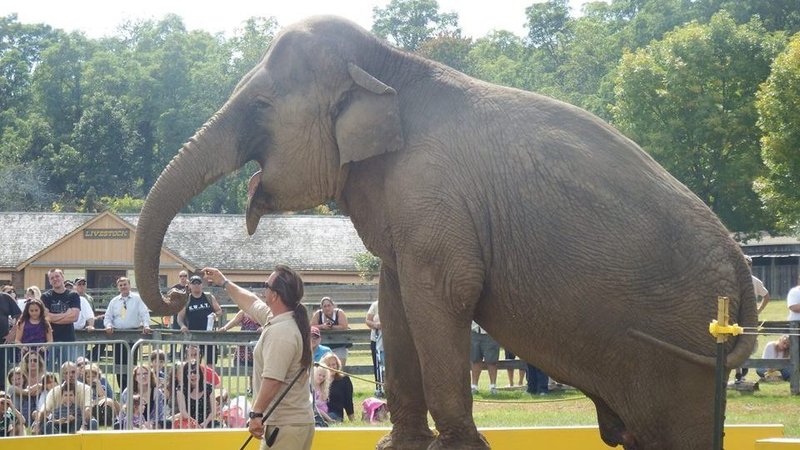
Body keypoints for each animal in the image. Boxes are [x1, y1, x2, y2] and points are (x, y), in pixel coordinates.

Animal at [133, 15, 756, 448]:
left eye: (261, 103)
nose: (181, 292)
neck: (392, 66)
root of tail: (743, 276)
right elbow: (396, 301)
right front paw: (401, 444)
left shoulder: (433, 201)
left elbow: (443, 298)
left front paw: (459, 446)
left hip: (682, 354)